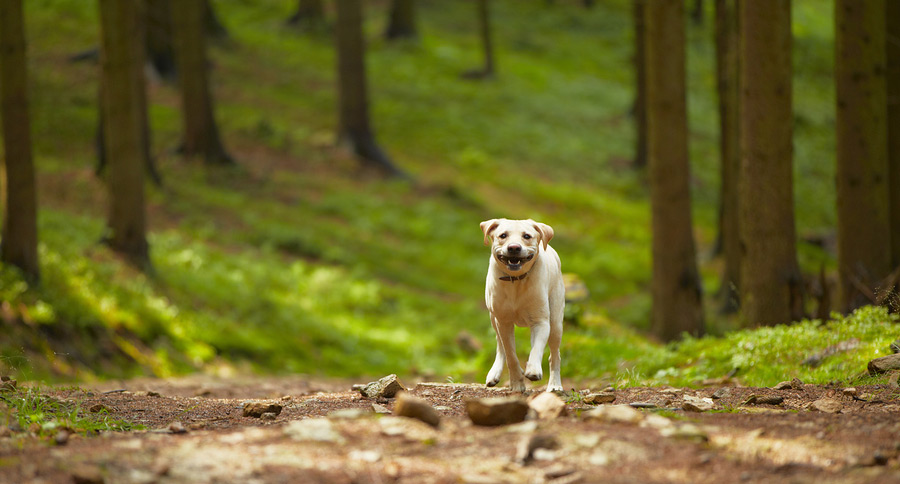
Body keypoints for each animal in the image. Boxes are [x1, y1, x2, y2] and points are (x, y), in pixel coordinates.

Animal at [478, 219, 564, 394]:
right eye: (503, 235)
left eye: (527, 236)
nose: (514, 247)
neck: (516, 281)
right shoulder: (503, 322)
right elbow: (510, 354)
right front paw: (517, 383)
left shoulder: (541, 321)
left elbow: (537, 349)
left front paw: (533, 370)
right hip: (493, 318)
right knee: (500, 346)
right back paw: (494, 373)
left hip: (556, 322)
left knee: (554, 355)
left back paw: (554, 384)